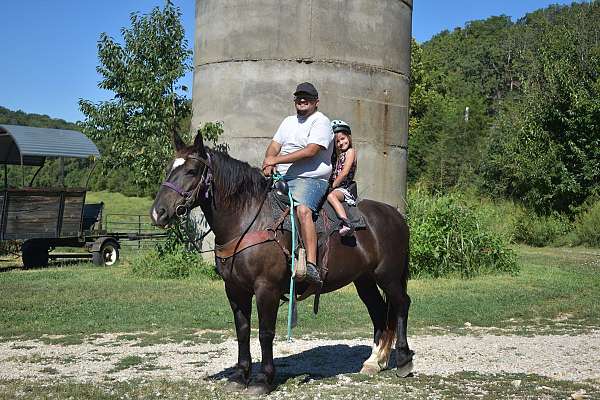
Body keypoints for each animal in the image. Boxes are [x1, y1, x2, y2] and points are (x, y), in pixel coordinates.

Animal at [150, 133, 412, 396]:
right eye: (168, 169)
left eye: (192, 171)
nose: (157, 213)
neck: (249, 221)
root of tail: (395, 215)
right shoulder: (234, 289)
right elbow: (242, 331)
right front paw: (239, 376)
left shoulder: (267, 289)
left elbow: (265, 333)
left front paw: (262, 379)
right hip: (364, 280)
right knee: (378, 311)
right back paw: (374, 362)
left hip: (388, 276)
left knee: (401, 305)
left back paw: (403, 361)